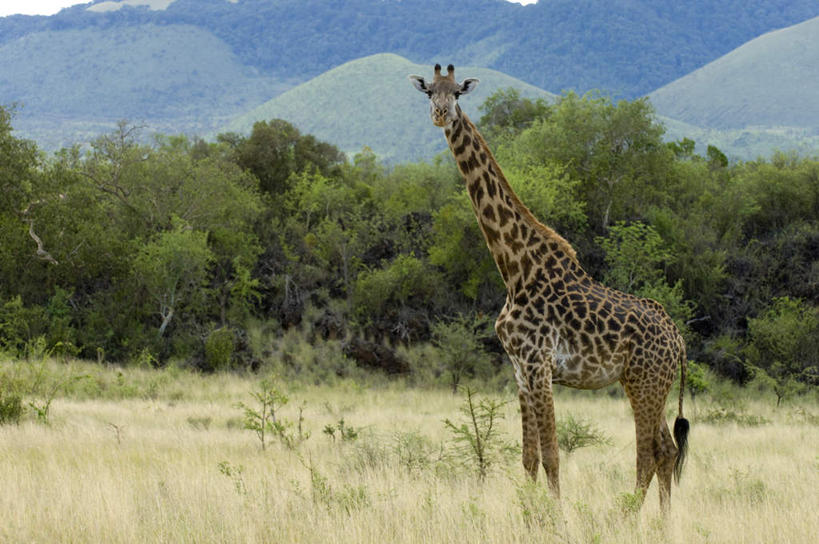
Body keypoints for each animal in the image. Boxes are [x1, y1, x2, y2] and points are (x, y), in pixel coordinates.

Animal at [410, 63, 692, 510]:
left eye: (457, 93)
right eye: (428, 92)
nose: (440, 114)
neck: (515, 270)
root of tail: (677, 339)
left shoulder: (539, 363)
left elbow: (552, 456)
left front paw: (557, 517)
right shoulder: (519, 369)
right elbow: (528, 457)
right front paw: (530, 516)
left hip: (646, 382)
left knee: (648, 453)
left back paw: (625, 517)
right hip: (647, 383)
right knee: (666, 449)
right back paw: (662, 520)